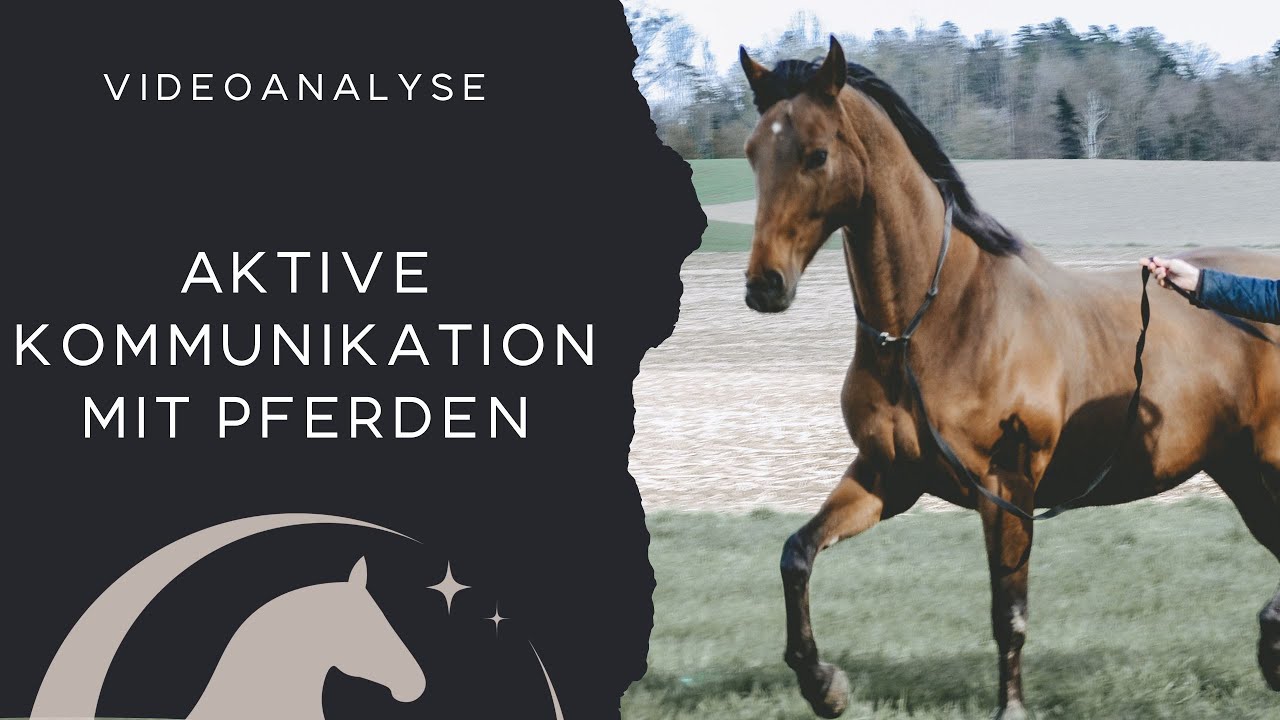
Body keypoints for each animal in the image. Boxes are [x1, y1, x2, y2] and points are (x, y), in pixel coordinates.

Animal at [737, 36, 1280, 720]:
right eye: (753, 152)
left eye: (816, 153)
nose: (765, 286)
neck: (943, 321)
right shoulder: (888, 476)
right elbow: (797, 554)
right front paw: (824, 685)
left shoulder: (1009, 485)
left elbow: (1009, 611)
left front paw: (1011, 707)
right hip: (1241, 473)